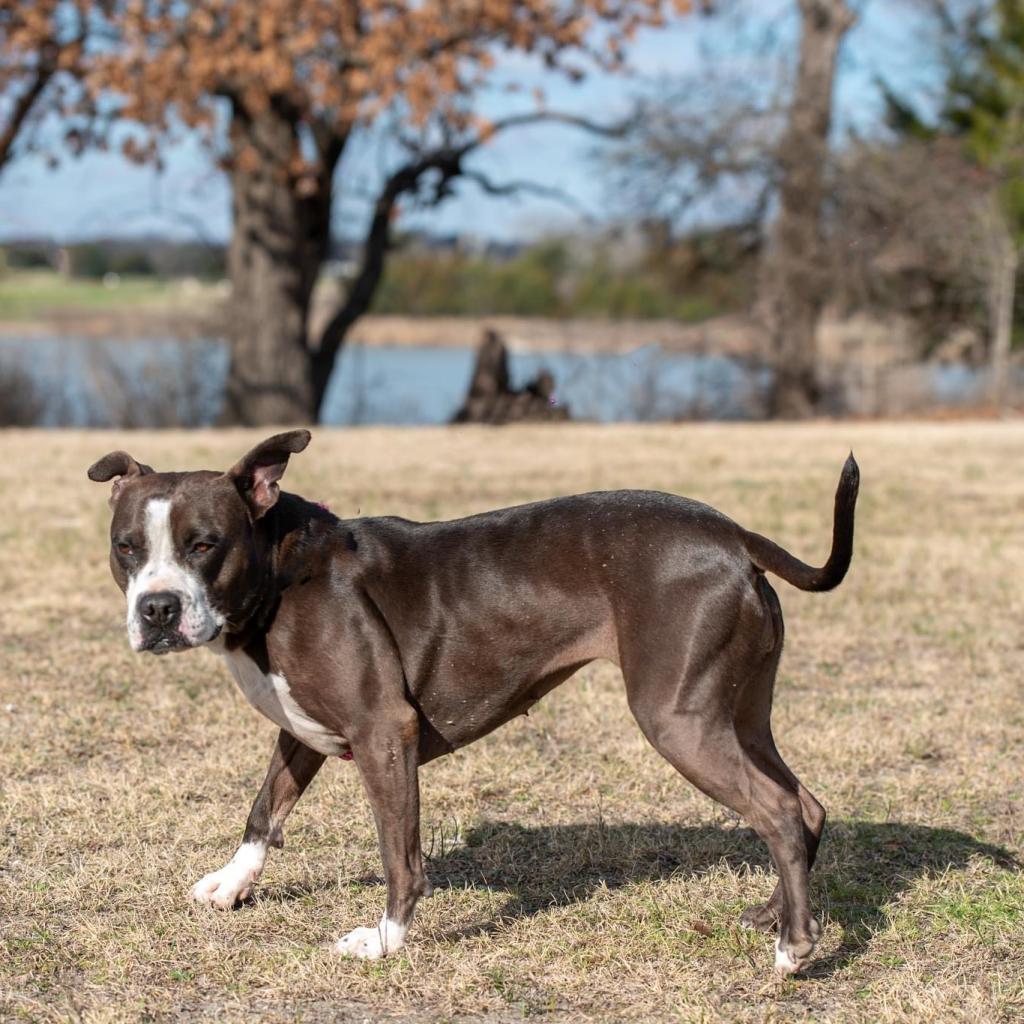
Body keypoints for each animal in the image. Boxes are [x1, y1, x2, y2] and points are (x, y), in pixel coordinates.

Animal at [86, 432, 856, 974]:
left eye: (204, 545)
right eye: (126, 548)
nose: (157, 610)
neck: (278, 574)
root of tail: (734, 536)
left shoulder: (382, 733)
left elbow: (400, 855)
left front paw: (385, 941)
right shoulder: (304, 730)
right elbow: (265, 806)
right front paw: (231, 883)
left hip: (679, 719)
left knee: (777, 810)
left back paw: (794, 948)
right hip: (738, 714)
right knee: (804, 805)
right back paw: (774, 915)